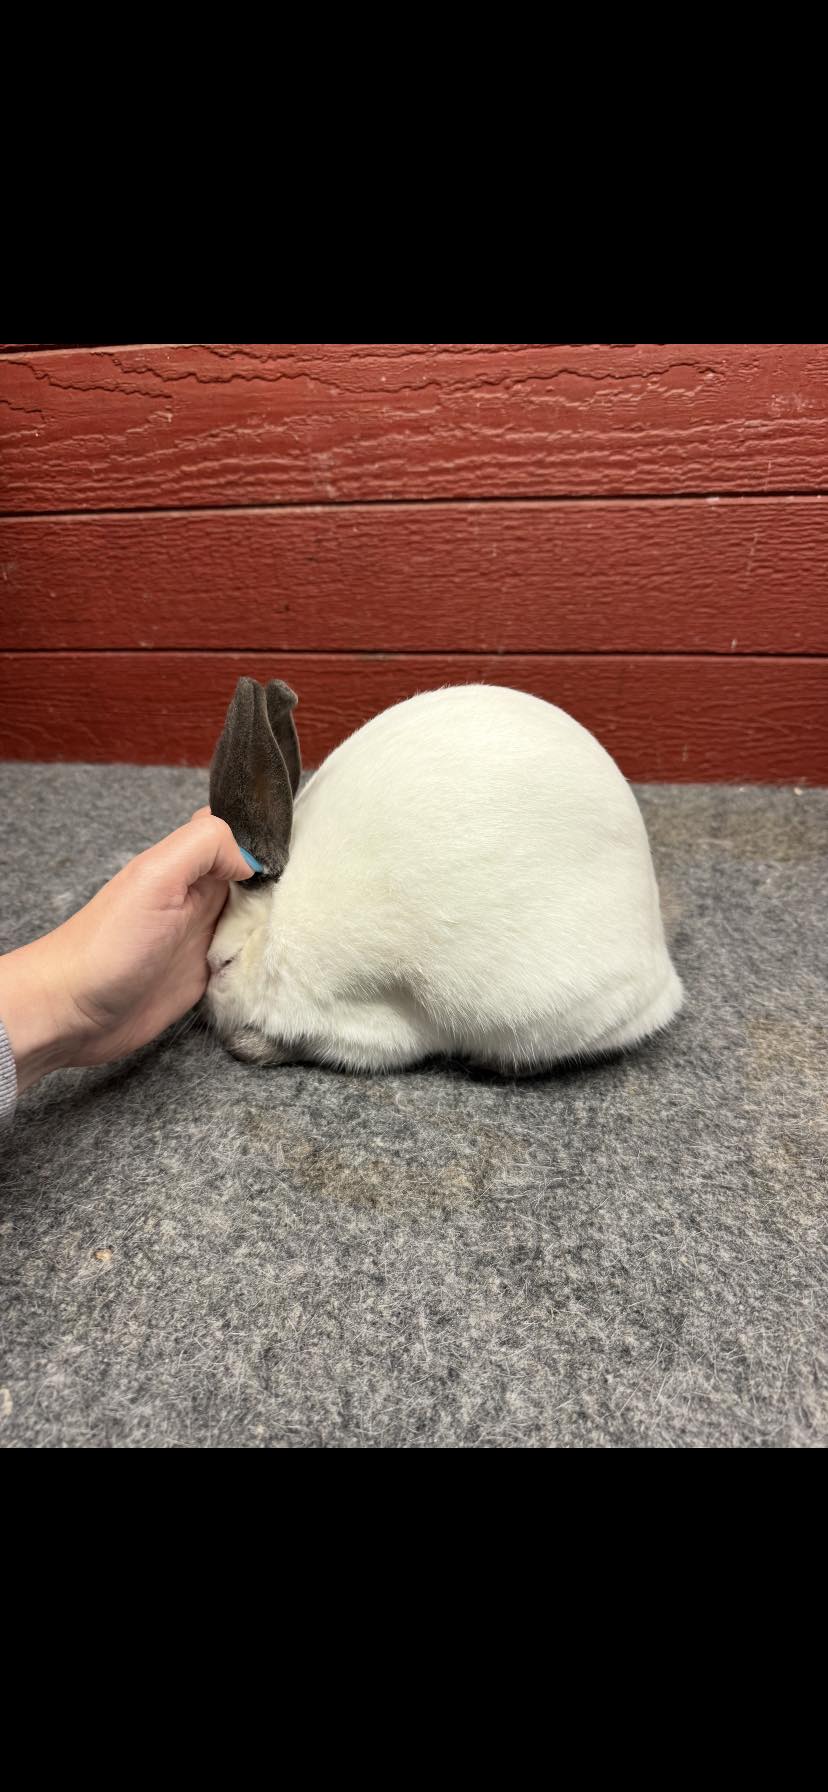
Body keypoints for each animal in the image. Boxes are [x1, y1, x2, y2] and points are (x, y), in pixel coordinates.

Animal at [205, 678, 684, 1074]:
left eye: (222, 963)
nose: (208, 998)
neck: (273, 931)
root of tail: (663, 977)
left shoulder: (357, 1020)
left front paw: (246, 1043)